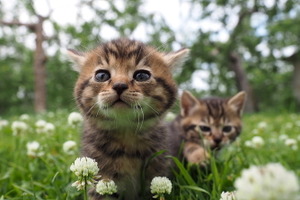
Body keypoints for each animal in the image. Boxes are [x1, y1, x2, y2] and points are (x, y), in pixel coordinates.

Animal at [68, 38, 190, 200]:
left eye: (142, 76)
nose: (119, 85)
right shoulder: (100, 177)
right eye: (102, 76)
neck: (126, 134)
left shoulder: (156, 171)